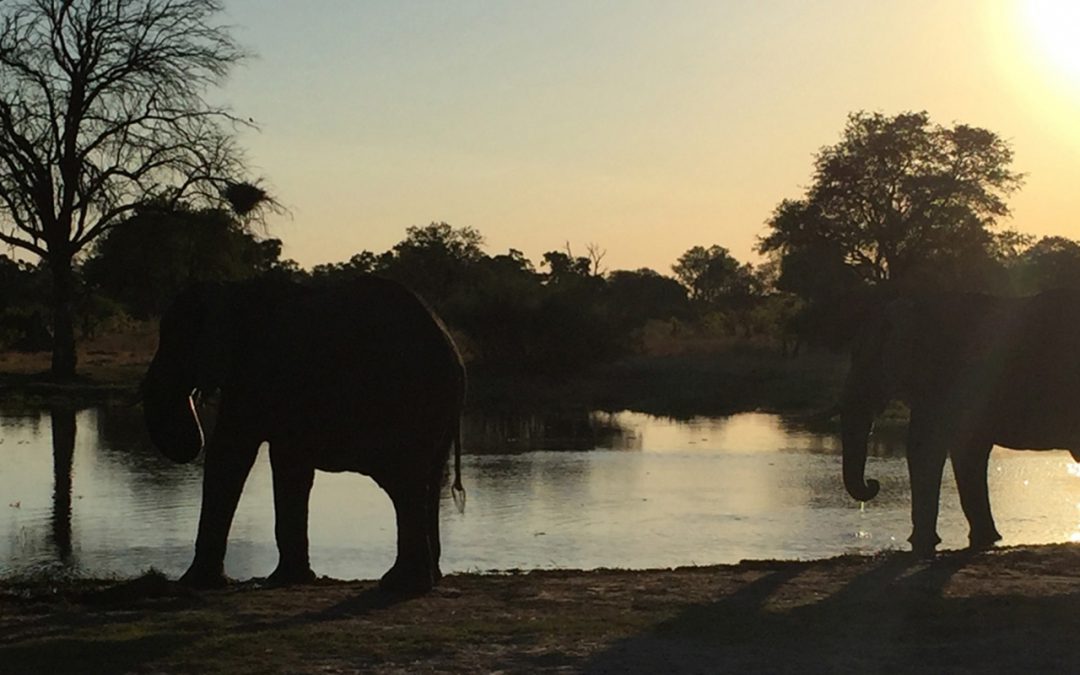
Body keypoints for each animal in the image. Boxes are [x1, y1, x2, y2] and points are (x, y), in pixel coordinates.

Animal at [141, 276, 466, 591]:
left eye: (172, 343)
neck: (233, 290)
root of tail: (454, 355)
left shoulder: (256, 374)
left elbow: (231, 453)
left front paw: (196, 584)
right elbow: (289, 465)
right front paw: (288, 579)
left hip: (406, 402)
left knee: (403, 482)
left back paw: (402, 582)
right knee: (425, 481)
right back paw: (423, 579)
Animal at [842, 287, 1080, 552]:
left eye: (863, 357)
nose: (873, 484)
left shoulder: (951, 379)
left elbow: (927, 447)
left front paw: (923, 542)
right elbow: (963, 452)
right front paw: (986, 539)